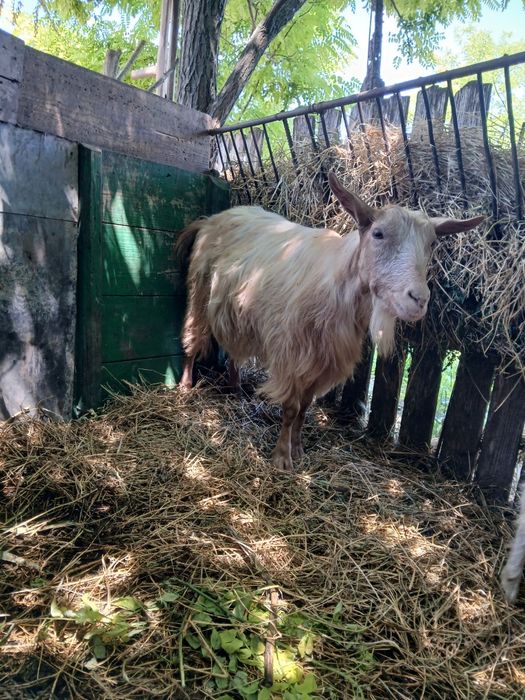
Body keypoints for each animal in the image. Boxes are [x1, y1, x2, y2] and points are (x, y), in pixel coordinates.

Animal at [175, 173, 483, 470]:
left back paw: (235, 386)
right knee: (192, 335)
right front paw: (282, 458)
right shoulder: (293, 354)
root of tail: (212, 219)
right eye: (378, 233)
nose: (418, 299)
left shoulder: (325, 358)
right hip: (200, 289)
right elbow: (290, 408)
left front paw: (298, 448)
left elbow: (304, 407)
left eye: (431, 243)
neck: (339, 284)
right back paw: (185, 386)